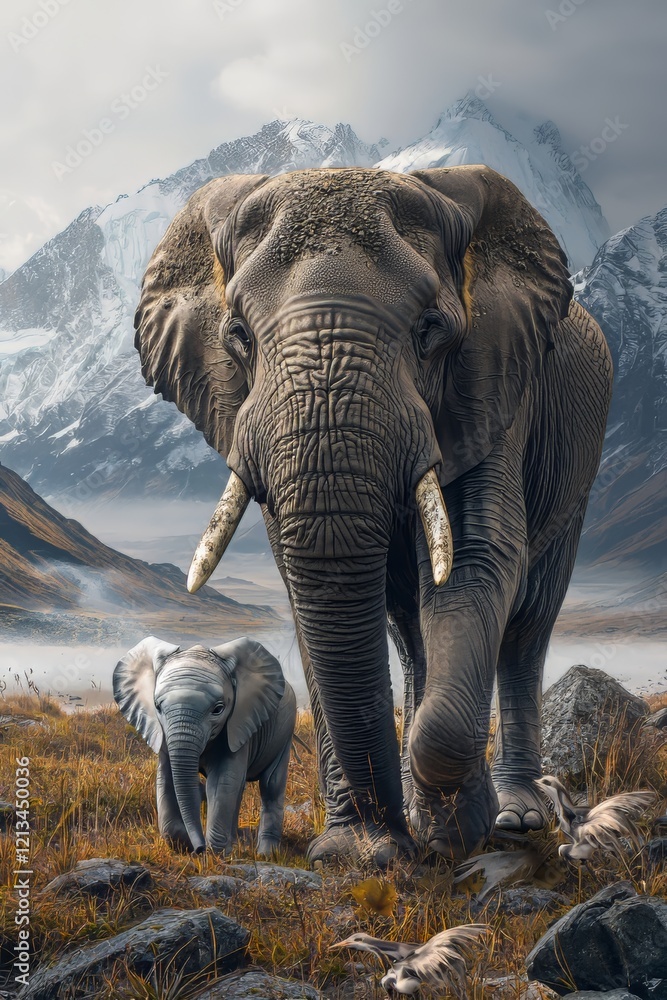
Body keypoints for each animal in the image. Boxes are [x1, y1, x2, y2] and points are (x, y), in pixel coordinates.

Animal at [113, 635, 297, 855]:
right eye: (157, 706)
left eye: (218, 709)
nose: (198, 848)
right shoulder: (163, 732)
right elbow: (166, 779)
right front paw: (186, 844)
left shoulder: (237, 724)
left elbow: (222, 782)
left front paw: (216, 853)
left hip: (285, 730)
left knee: (271, 784)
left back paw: (266, 854)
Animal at [134, 164, 613, 863]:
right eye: (238, 336)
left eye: (430, 330)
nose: (375, 848)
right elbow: (305, 591)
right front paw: (360, 852)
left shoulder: (493, 385)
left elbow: (477, 559)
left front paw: (455, 835)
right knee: (410, 632)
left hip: (579, 461)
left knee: (527, 626)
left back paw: (515, 816)